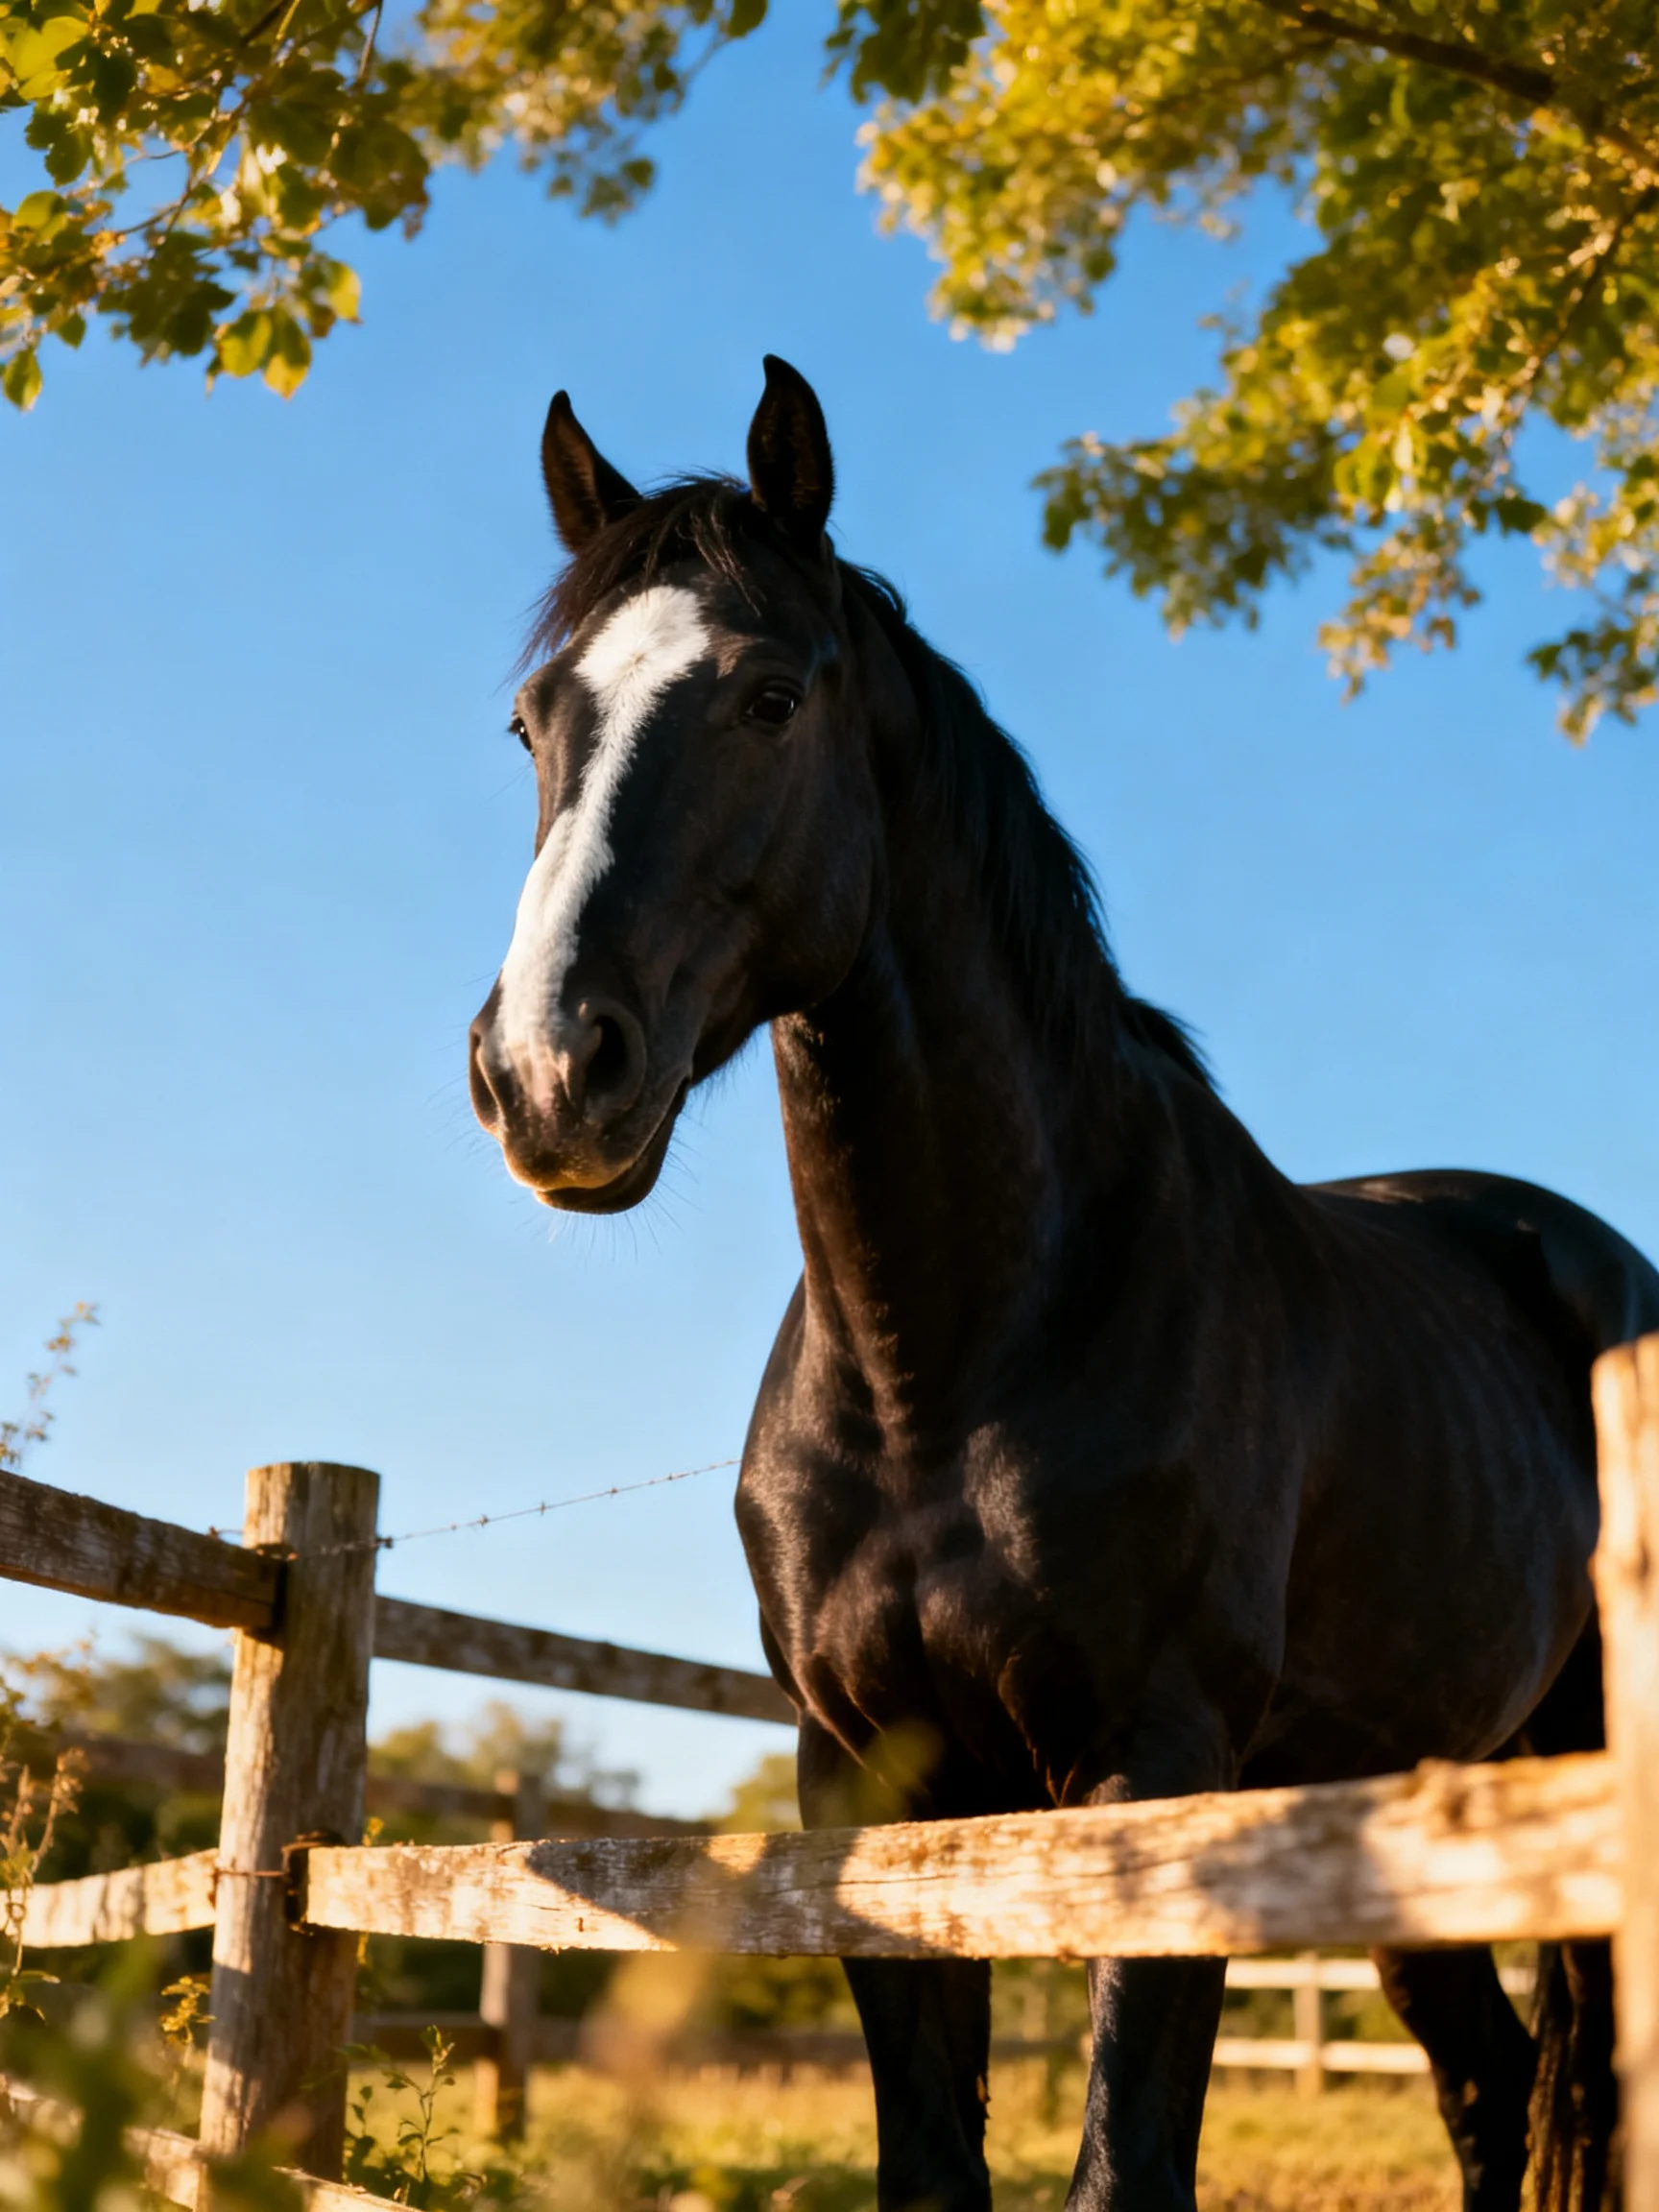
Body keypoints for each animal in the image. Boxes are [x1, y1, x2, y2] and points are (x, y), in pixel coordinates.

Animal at [466, 357, 1659, 2212]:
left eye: (766, 696)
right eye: (534, 720)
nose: (542, 1070)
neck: (952, 1362)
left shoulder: (1152, 1779)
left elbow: (1124, 2167)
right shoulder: (866, 1790)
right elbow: (931, 2160)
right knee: (1486, 2079)